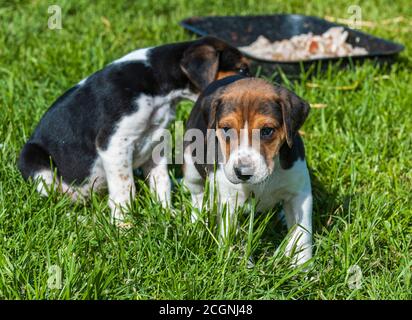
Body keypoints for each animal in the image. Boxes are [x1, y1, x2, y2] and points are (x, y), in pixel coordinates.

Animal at [19, 37, 249, 222]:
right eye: (241, 69)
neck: (159, 85)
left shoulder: (156, 143)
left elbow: (161, 181)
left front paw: (166, 212)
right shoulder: (113, 143)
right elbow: (125, 187)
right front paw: (125, 226)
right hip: (35, 162)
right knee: (55, 201)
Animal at [183, 75, 312, 264]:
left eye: (267, 131)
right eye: (226, 129)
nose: (242, 172)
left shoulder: (300, 193)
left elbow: (302, 233)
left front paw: (302, 265)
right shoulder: (229, 202)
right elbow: (231, 234)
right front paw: (239, 264)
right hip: (190, 167)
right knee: (198, 195)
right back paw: (198, 223)